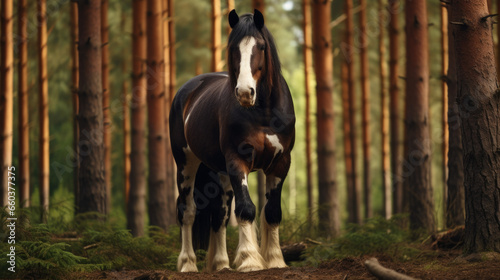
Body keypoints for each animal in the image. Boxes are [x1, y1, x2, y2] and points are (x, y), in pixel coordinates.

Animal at [171, 8, 294, 272]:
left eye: (260, 46)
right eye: (234, 48)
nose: (245, 92)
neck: (264, 112)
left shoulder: (281, 163)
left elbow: (272, 212)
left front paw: (275, 260)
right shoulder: (238, 161)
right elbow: (246, 209)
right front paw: (250, 261)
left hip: (220, 171)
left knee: (221, 214)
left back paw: (221, 264)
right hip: (186, 163)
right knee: (187, 210)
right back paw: (188, 264)